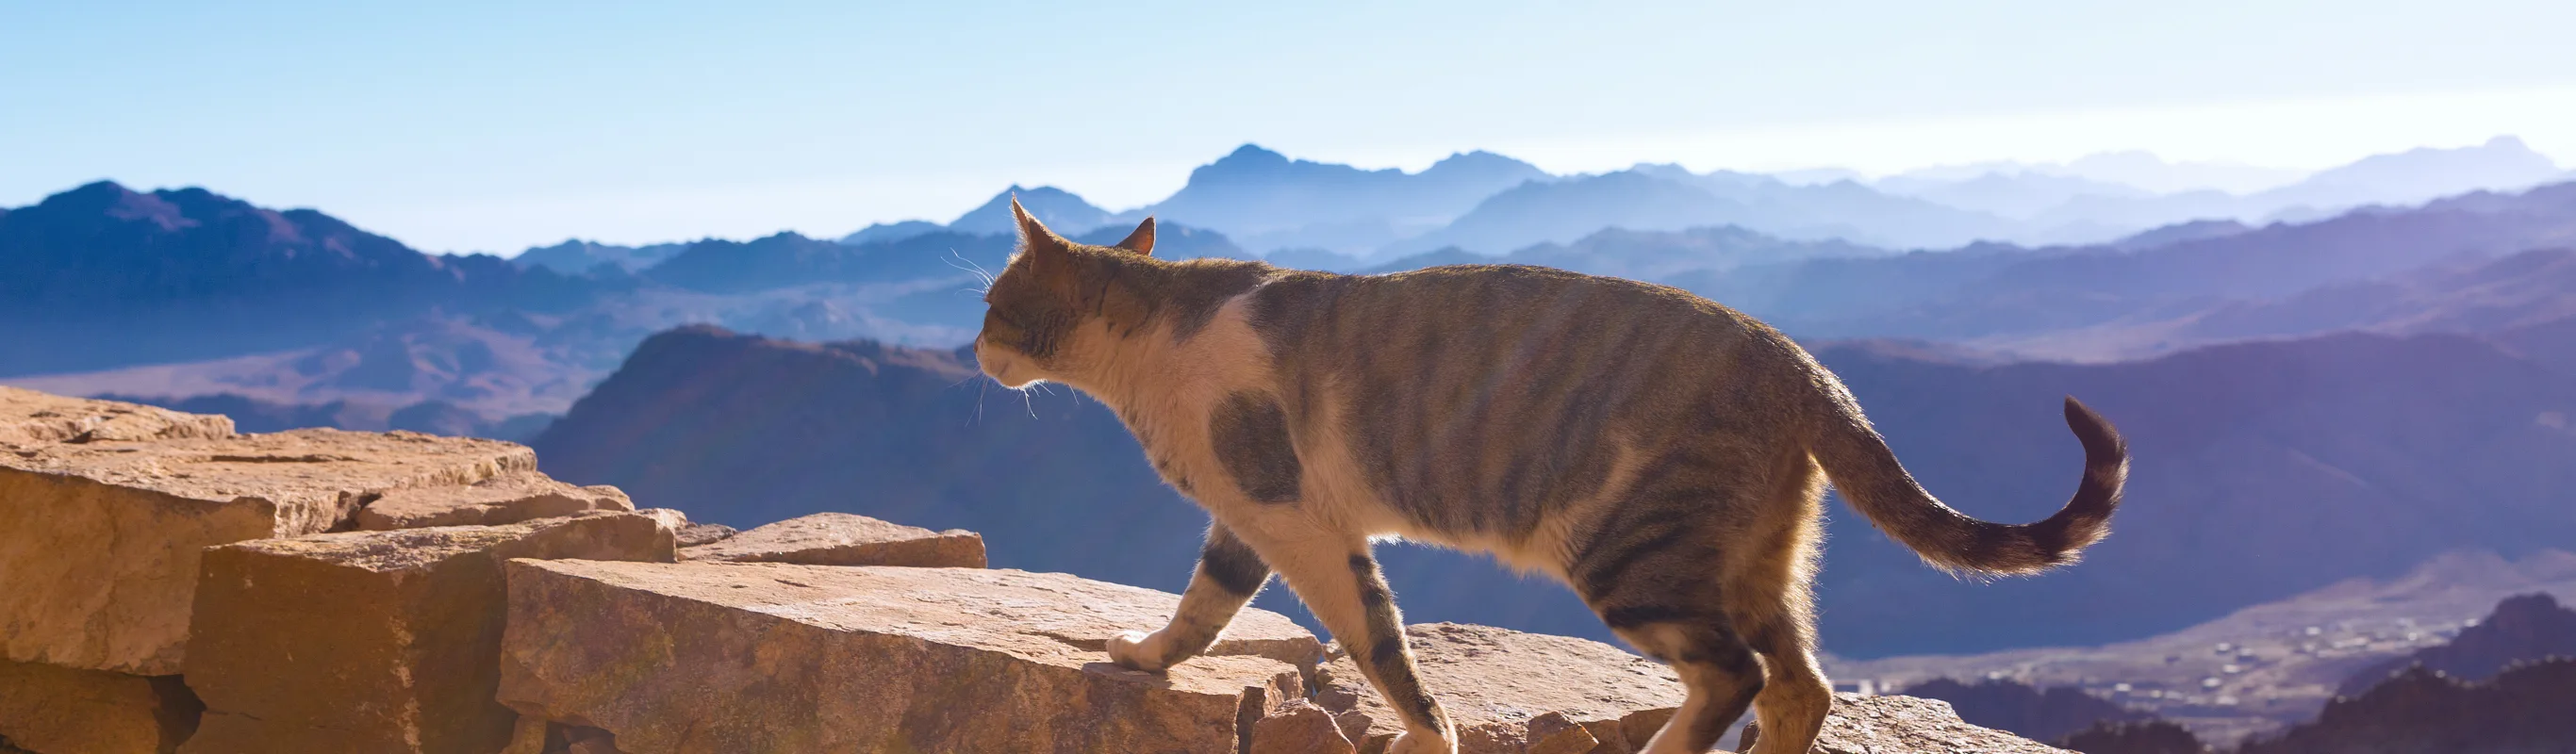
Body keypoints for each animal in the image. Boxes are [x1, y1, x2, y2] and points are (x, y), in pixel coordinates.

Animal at [973, 200, 2122, 751]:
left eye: (991, 302)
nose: (972, 347)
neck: (1147, 352)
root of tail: (1797, 362)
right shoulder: (1251, 517)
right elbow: (1202, 608)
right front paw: (1141, 657)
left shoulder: (1291, 512)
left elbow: (1379, 646)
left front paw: (1427, 738)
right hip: (1754, 556)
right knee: (1802, 684)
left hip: (1630, 548)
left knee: (1736, 677)